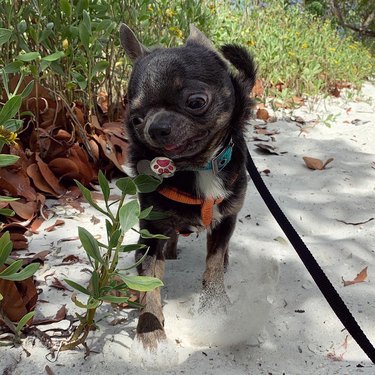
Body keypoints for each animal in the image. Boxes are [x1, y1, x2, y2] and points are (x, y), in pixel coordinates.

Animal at [120, 23, 258, 352]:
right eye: (136, 118)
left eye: (196, 102)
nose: (156, 127)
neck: (197, 168)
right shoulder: (151, 230)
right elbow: (149, 281)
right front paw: (150, 329)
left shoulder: (226, 218)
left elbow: (214, 265)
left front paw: (215, 309)